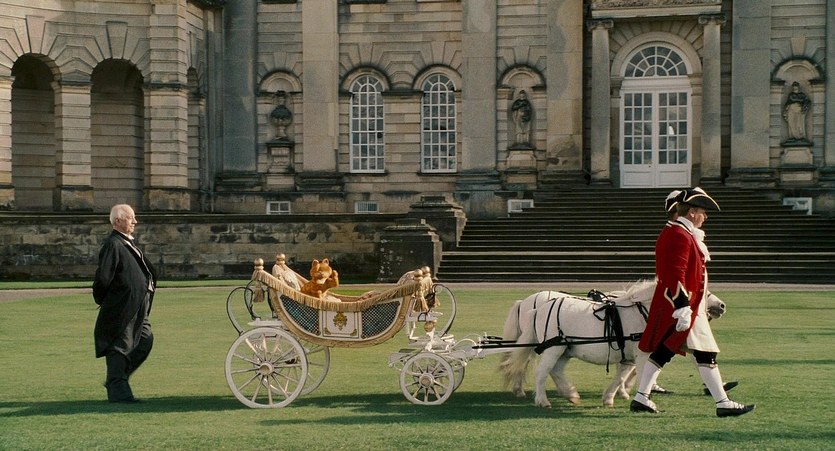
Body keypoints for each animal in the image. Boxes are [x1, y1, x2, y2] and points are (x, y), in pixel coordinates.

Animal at [499, 281, 726, 408]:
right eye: (704, 292)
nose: (722, 306)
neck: (645, 312)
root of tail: (536, 307)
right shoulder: (641, 353)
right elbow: (638, 374)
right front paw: (639, 397)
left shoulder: (628, 354)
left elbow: (622, 376)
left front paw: (612, 396)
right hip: (553, 348)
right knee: (539, 371)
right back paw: (541, 399)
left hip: (564, 349)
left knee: (555, 370)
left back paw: (570, 394)